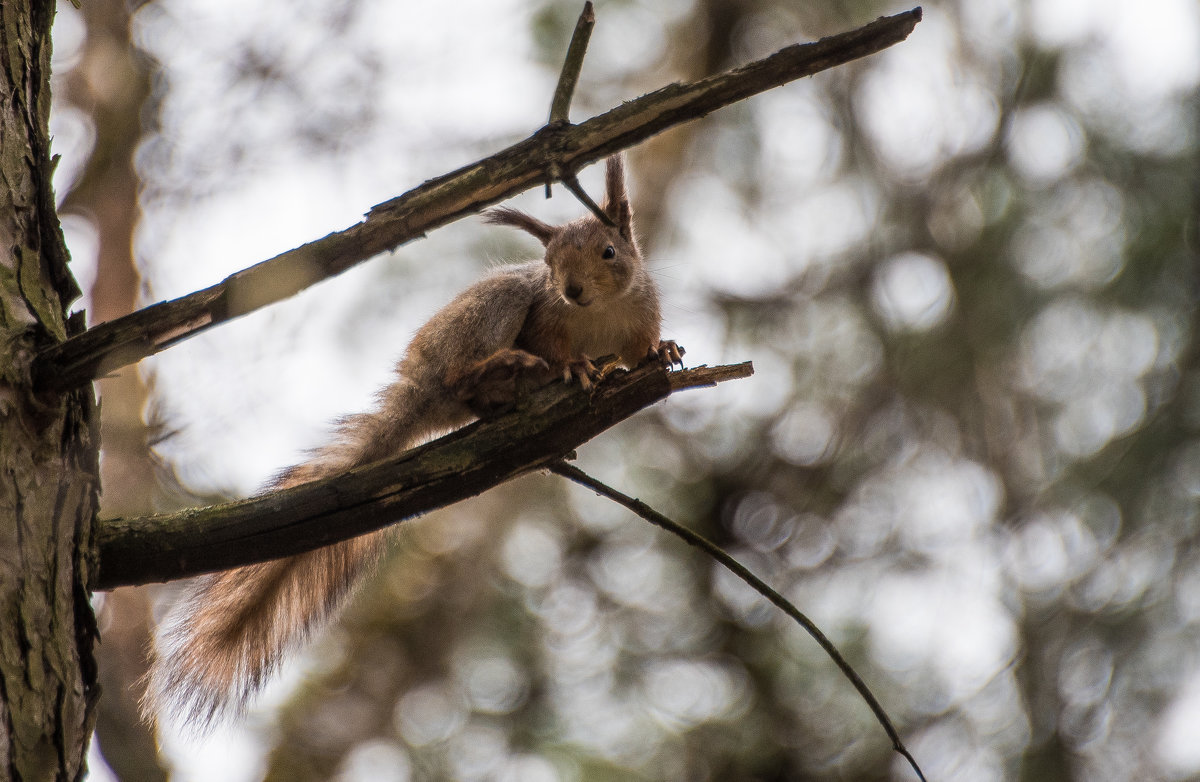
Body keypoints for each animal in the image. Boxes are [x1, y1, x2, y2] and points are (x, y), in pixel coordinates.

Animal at [142, 155, 686, 729]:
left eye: (609, 251)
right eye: (550, 262)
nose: (572, 290)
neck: (596, 314)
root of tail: (419, 386)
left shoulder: (638, 319)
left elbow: (640, 349)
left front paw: (664, 350)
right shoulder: (545, 315)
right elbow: (558, 351)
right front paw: (577, 366)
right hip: (492, 308)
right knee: (457, 375)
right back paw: (503, 366)